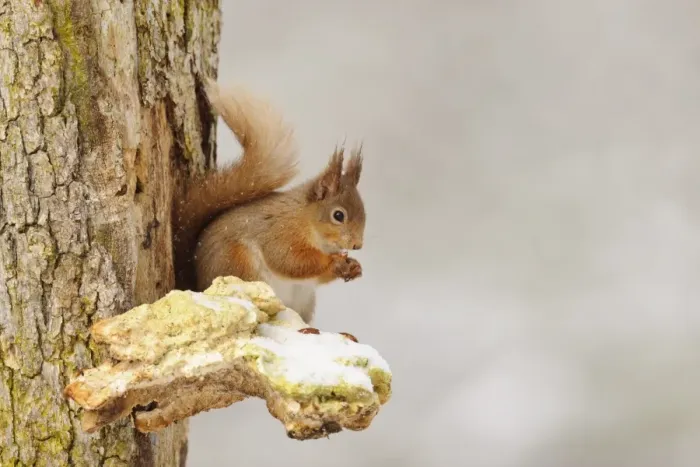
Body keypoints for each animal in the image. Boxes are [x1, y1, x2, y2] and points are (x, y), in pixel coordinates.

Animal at [172, 78, 366, 323]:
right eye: (338, 215)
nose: (357, 245)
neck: (305, 218)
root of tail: (198, 286)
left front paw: (354, 267)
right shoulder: (281, 232)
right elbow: (290, 261)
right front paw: (334, 262)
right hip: (241, 266)